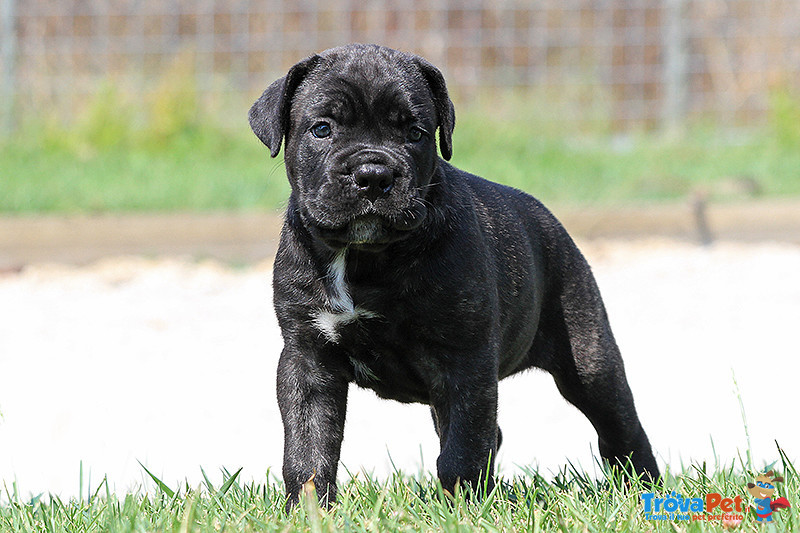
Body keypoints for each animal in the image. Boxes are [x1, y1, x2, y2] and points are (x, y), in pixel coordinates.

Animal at [248, 43, 656, 504]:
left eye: (415, 133)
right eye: (321, 129)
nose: (373, 174)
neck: (363, 257)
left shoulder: (464, 360)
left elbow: (463, 444)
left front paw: (464, 504)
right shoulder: (309, 359)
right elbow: (310, 444)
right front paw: (310, 507)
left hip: (590, 360)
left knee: (619, 426)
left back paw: (644, 487)